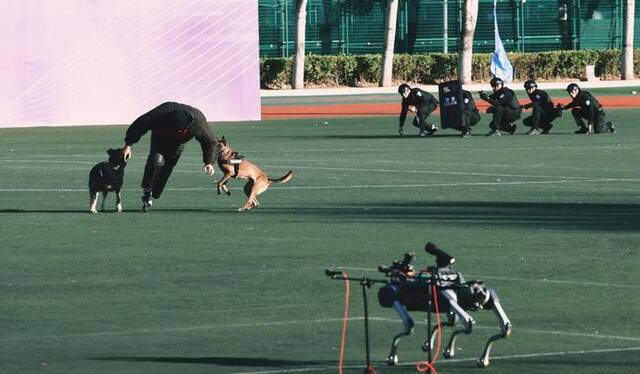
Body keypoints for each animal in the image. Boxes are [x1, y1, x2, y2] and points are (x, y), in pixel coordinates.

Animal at [328, 243, 512, 372]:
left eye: (481, 294)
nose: (482, 293)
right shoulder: (447, 298)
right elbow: (464, 324)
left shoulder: (456, 301)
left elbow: (499, 327)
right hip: (397, 296)